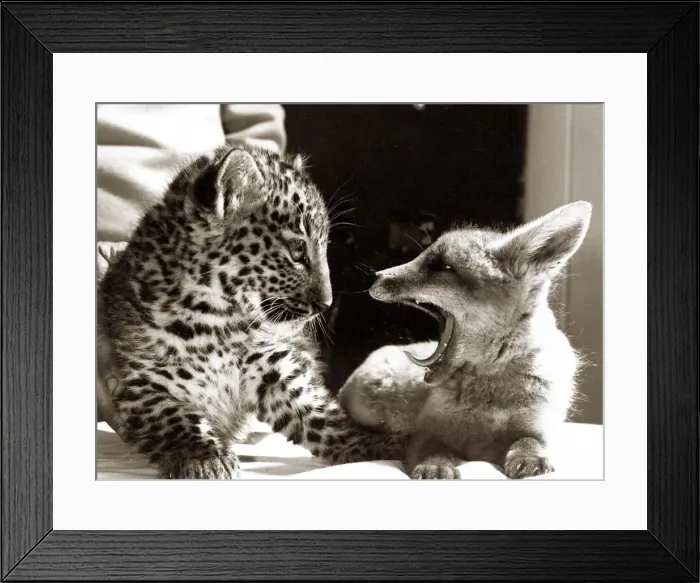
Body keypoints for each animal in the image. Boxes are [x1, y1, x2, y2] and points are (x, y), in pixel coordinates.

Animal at [99, 142, 407, 479]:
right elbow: (175, 419)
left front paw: (373, 444)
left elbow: (316, 412)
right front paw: (204, 458)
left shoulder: (269, 363)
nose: (325, 304)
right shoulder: (139, 381)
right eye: (297, 252)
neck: (212, 318)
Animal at [338, 201, 593, 479]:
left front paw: (529, 459)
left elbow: (528, 442)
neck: (488, 388)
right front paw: (435, 466)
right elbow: (433, 450)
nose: (373, 276)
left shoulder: (540, 428)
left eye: (440, 266)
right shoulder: (426, 432)